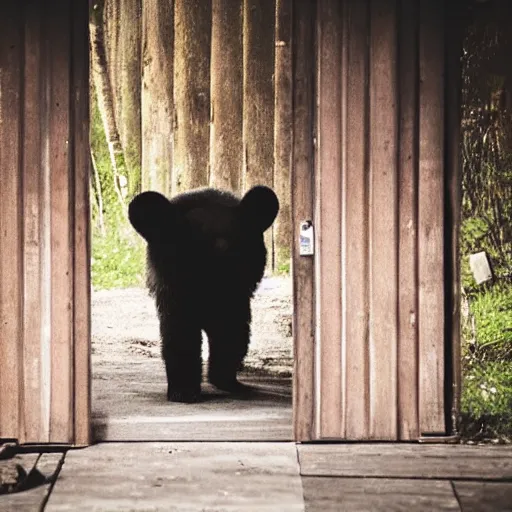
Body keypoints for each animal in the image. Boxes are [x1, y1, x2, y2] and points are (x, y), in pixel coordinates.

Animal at [128, 186, 280, 402]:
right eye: (190, 256)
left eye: (237, 252)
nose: (216, 290)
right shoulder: (174, 292)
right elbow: (180, 333)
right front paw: (183, 390)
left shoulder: (237, 296)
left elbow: (232, 332)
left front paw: (225, 379)